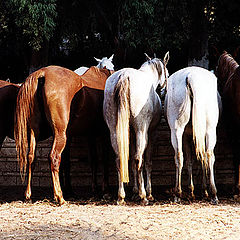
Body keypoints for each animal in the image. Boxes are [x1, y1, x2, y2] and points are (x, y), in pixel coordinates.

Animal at [14, 66, 112, 204]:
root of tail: (42, 74)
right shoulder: (104, 134)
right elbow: (104, 160)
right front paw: (106, 190)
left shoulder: (86, 135)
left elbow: (84, 160)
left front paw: (79, 189)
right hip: (60, 134)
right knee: (54, 157)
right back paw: (59, 196)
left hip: (35, 132)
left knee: (31, 157)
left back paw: (28, 194)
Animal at [103, 52, 169, 204]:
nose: (164, 91)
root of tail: (124, 76)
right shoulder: (151, 133)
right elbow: (147, 161)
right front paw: (147, 193)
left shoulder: (131, 134)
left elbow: (131, 160)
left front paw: (134, 191)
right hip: (141, 130)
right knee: (139, 158)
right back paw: (143, 196)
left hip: (114, 131)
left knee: (119, 158)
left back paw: (121, 196)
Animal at [165, 66, 221, 204]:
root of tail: (190, 76)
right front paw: (203, 190)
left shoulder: (186, 136)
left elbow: (190, 160)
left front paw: (193, 191)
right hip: (210, 129)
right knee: (209, 155)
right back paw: (213, 194)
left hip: (177, 128)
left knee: (179, 155)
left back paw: (177, 194)